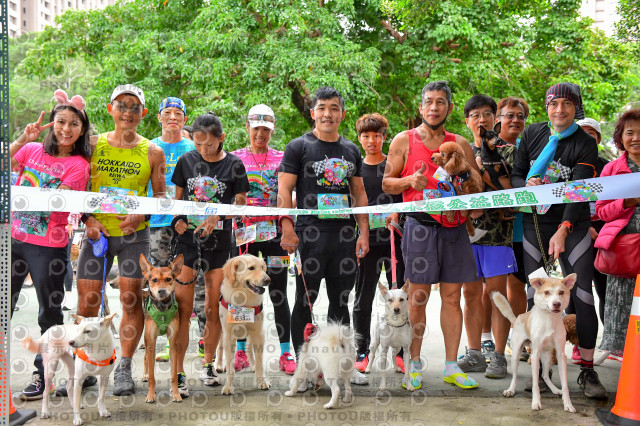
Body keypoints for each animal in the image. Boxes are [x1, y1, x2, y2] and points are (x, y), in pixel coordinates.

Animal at [219, 255, 272, 394]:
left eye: (263, 267)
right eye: (251, 268)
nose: (268, 280)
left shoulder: (259, 333)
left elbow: (259, 362)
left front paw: (262, 381)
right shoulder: (228, 335)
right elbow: (230, 366)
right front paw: (228, 386)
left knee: (248, 348)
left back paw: (252, 365)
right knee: (219, 347)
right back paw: (218, 365)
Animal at [492, 272, 576, 412]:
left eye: (561, 292)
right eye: (547, 292)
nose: (556, 304)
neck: (549, 319)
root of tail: (516, 319)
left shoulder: (560, 355)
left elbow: (565, 385)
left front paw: (568, 404)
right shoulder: (535, 355)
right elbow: (535, 384)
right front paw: (536, 402)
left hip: (547, 357)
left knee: (545, 375)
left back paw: (555, 389)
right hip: (516, 355)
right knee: (515, 376)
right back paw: (510, 390)